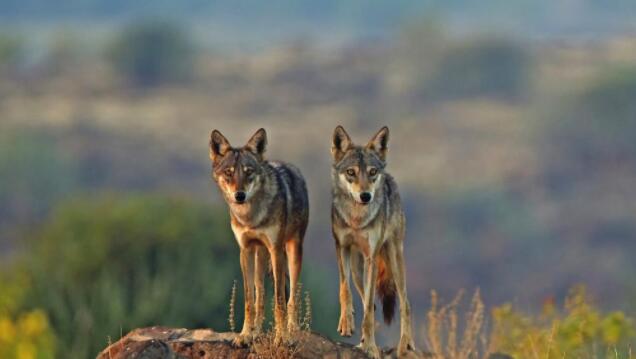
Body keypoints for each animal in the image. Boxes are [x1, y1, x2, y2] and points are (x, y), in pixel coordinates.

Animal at [209, 129, 308, 346]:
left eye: (248, 172)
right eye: (229, 172)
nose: (239, 195)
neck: (251, 216)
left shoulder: (276, 250)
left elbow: (279, 299)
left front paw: (281, 337)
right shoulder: (245, 250)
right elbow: (249, 299)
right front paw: (246, 335)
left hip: (293, 251)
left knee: (292, 297)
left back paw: (292, 329)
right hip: (259, 256)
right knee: (260, 296)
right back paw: (256, 333)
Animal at [330, 125, 414, 358]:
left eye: (372, 172)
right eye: (351, 172)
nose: (365, 196)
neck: (357, 219)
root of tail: (390, 179)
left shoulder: (371, 258)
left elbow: (367, 308)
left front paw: (372, 348)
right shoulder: (341, 248)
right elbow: (344, 289)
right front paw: (346, 324)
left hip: (394, 261)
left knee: (405, 303)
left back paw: (405, 345)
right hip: (357, 270)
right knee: (372, 304)